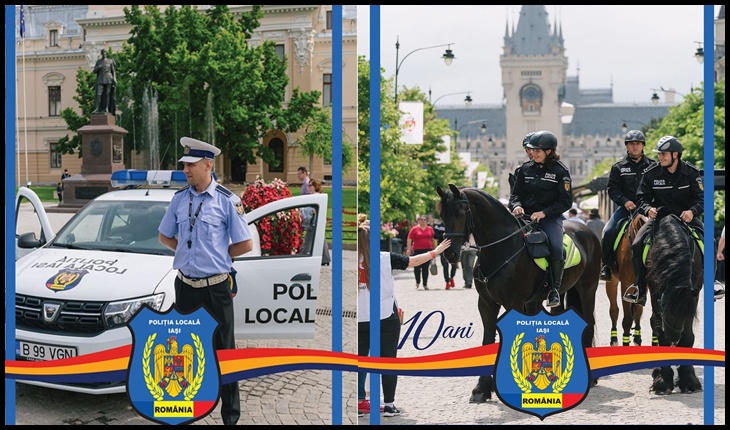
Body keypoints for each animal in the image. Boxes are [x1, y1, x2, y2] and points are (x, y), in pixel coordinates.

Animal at [438, 185, 596, 404]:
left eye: (460, 214)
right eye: (442, 215)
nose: (450, 254)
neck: (501, 249)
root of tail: (587, 232)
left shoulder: (513, 303)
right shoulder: (486, 303)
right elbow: (488, 339)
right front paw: (481, 389)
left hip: (588, 289)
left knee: (589, 322)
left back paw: (592, 378)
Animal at [644, 212, 704, 394]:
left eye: (685, 313)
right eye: (665, 308)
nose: (674, 339)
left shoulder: (694, 295)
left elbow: (688, 336)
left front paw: (688, 380)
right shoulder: (655, 293)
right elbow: (659, 332)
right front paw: (663, 380)